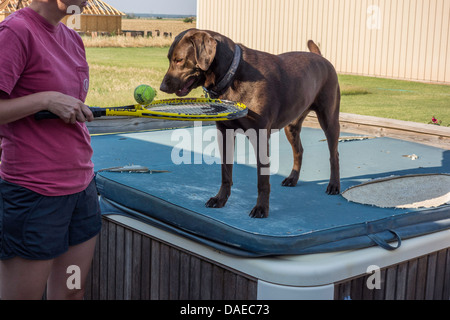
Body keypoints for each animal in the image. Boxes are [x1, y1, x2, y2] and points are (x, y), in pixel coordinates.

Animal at [160, 28, 340, 219]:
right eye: (170, 58)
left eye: (179, 60)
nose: (162, 87)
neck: (232, 75)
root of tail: (321, 57)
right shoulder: (224, 133)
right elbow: (226, 173)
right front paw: (220, 199)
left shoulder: (260, 136)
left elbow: (262, 180)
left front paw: (261, 208)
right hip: (291, 126)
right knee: (299, 150)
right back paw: (293, 178)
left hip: (329, 119)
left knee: (334, 154)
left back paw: (334, 185)